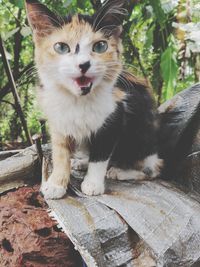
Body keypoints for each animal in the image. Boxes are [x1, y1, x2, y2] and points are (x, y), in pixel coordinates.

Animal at [25, 0, 162, 200]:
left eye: (100, 46)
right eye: (61, 47)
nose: (84, 64)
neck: (77, 99)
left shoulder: (115, 115)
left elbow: (101, 155)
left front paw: (92, 184)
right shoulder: (57, 120)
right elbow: (60, 153)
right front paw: (56, 184)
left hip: (142, 136)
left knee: (153, 169)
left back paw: (120, 171)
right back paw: (82, 162)